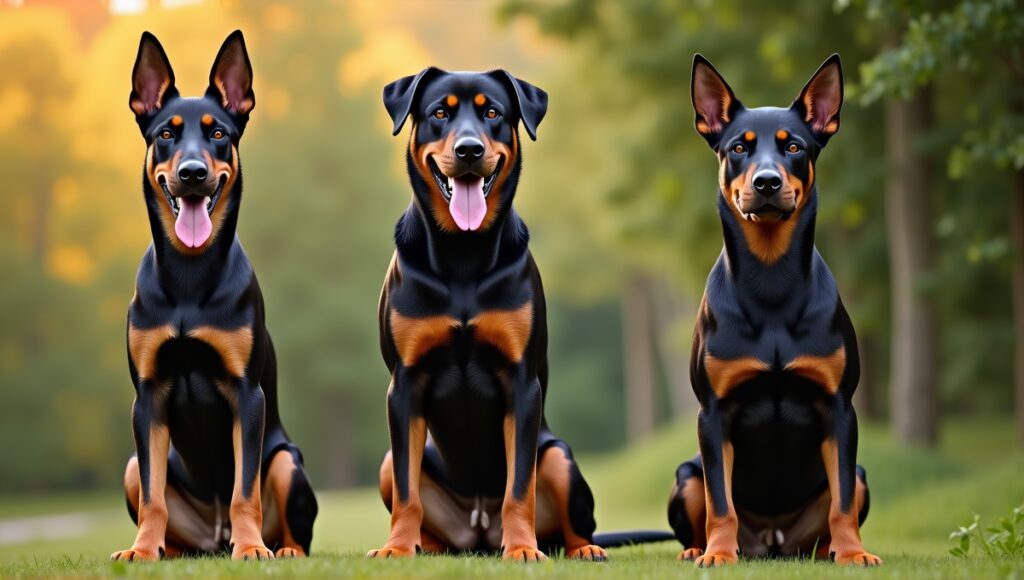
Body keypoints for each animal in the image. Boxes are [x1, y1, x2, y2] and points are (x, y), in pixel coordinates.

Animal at [111, 30, 315, 565]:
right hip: (133, 468)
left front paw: (252, 548)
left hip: (286, 461)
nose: (192, 173)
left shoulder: (247, 394)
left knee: (288, 518)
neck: (189, 277)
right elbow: (154, 497)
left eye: (218, 133)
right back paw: (170, 550)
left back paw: (278, 548)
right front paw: (142, 550)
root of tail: (213, 538)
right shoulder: (148, 395)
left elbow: (245, 489)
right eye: (166, 133)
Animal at [370, 68, 614, 565]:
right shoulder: (404, 383)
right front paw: (397, 547)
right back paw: (423, 546)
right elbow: (406, 490)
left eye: (493, 113)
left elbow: (519, 487)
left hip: (559, 457)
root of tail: (478, 529)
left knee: (568, 521)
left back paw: (583, 548)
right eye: (439, 112)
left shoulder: (521, 381)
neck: (463, 254)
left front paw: (521, 548)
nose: (469, 150)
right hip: (394, 467)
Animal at [663, 55, 880, 569]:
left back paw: (830, 550)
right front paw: (718, 555)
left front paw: (854, 553)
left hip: (854, 479)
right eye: (738, 147)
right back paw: (699, 548)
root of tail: (772, 543)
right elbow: (720, 501)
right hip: (685, 475)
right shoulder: (713, 411)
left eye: (794, 146)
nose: (766, 182)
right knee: (703, 500)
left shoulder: (838, 407)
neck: (771, 283)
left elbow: (843, 499)